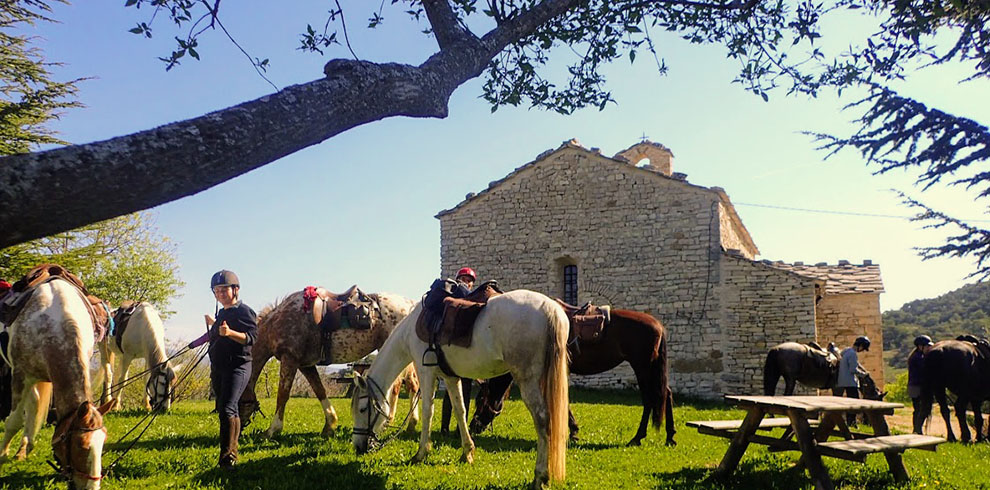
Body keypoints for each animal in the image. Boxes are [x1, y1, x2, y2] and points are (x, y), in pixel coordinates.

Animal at [0, 278, 112, 488]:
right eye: (81, 446)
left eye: (103, 442)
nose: (92, 486)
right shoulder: (20, 375)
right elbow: (13, 421)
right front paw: (2, 455)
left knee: (34, 403)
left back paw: (25, 447)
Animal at [239, 290, 418, 438]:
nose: (238, 431)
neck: (278, 321)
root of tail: (409, 304)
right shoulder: (306, 365)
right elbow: (320, 390)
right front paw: (330, 425)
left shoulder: (289, 358)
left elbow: (282, 395)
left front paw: (272, 430)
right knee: (410, 384)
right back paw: (406, 424)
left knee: (402, 385)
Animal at [352, 290, 568, 488]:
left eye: (363, 409)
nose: (358, 447)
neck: (410, 330)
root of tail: (549, 307)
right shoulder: (450, 378)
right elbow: (459, 410)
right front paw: (467, 452)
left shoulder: (426, 372)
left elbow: (428, 412)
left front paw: (421, 453)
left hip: (528, 380)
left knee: (542, 420)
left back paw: (540, 476)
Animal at [470, 310, 676, 448]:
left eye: (480, 400)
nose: (473, 427)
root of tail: (658, 325)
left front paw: (572, 432)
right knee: (666, 393)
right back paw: (670, 436)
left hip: (643, 367)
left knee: (650, 398)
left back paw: (638, 437)